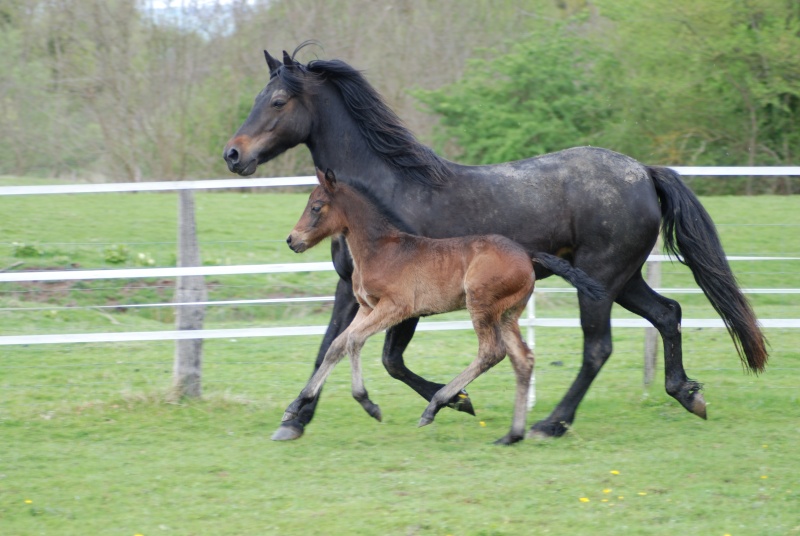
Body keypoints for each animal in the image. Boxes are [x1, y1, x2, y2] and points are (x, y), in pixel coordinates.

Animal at [222, 45, 764, 440]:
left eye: (277, 101)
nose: (233, 155)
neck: (387, 190)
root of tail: (644, 173)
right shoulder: (349, 288)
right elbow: (329, 346)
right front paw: (294, 418)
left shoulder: (408, 300)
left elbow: (390, 360)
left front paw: (454, 401)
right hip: (622, 279)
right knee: (668, 314)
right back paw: (688, 394)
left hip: (601, 281)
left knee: (598, 348)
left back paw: (551, 423)